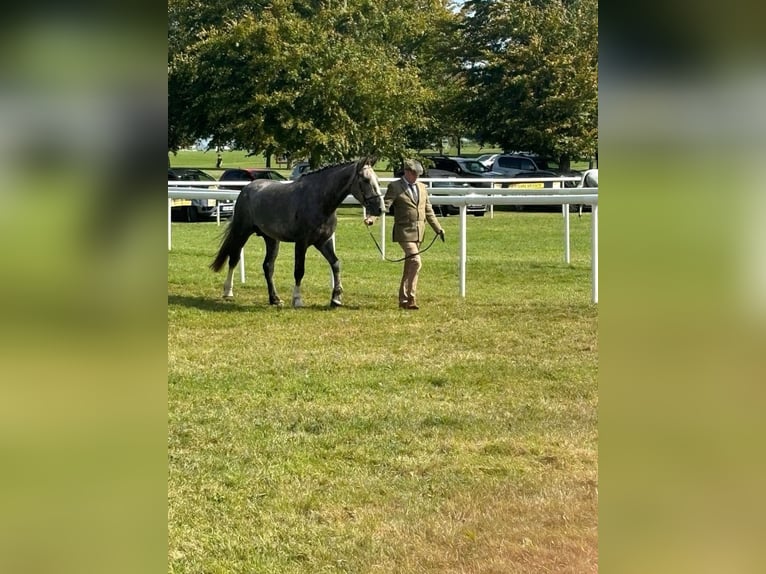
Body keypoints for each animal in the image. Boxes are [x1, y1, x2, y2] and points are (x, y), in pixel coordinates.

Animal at [210, 158, 384, 308]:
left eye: (377, 180)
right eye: (365, 180)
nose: (380, 209)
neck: (319, 200)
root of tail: (247, 188)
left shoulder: (324, 242)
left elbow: (335, 264)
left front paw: (336, 298)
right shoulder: (302, 243)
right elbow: (299, 270)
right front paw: (297, 299)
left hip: (271, 239)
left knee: (268, 266)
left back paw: (275, 299)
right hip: (241, 233)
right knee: (234, 259)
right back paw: (228, 292)